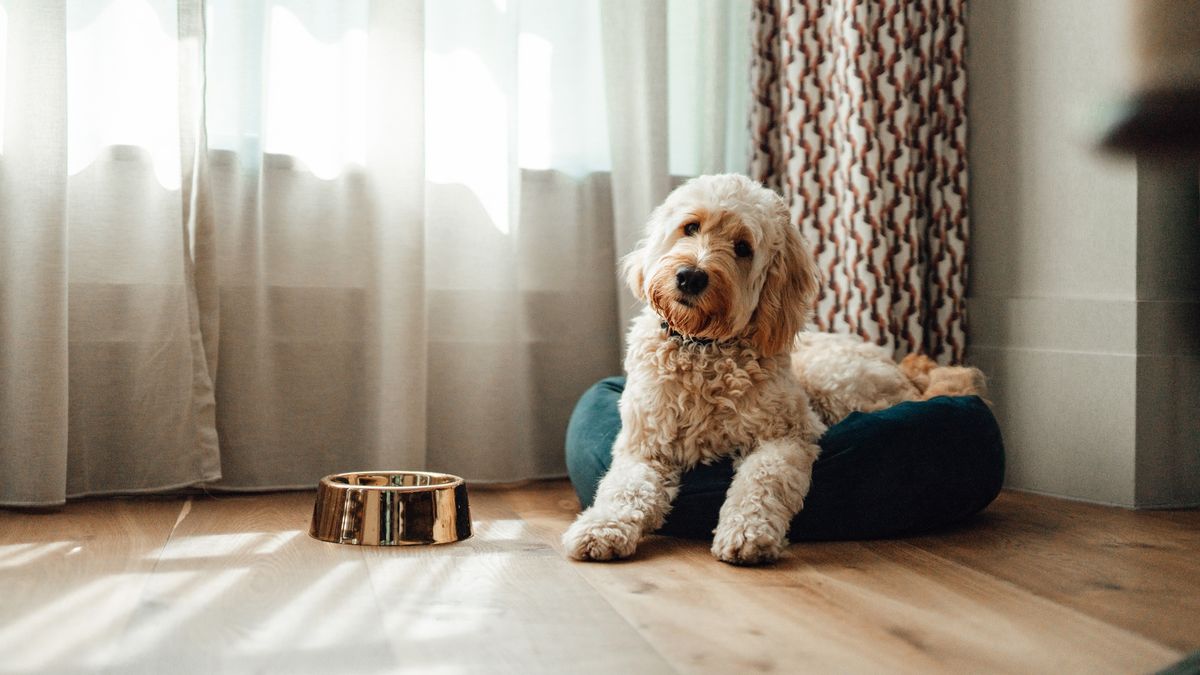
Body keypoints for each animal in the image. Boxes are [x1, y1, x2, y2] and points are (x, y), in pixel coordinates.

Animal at [561, 171, 984, 562]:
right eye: (691, 227)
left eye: (743, 248)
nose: (690, 276)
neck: (703, 350)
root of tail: (905, 371)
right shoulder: (644, 446)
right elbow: (623, 488)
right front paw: (601, 527)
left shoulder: (787, 436)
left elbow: (761, 482)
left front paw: (747, 532)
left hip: (836, 384)